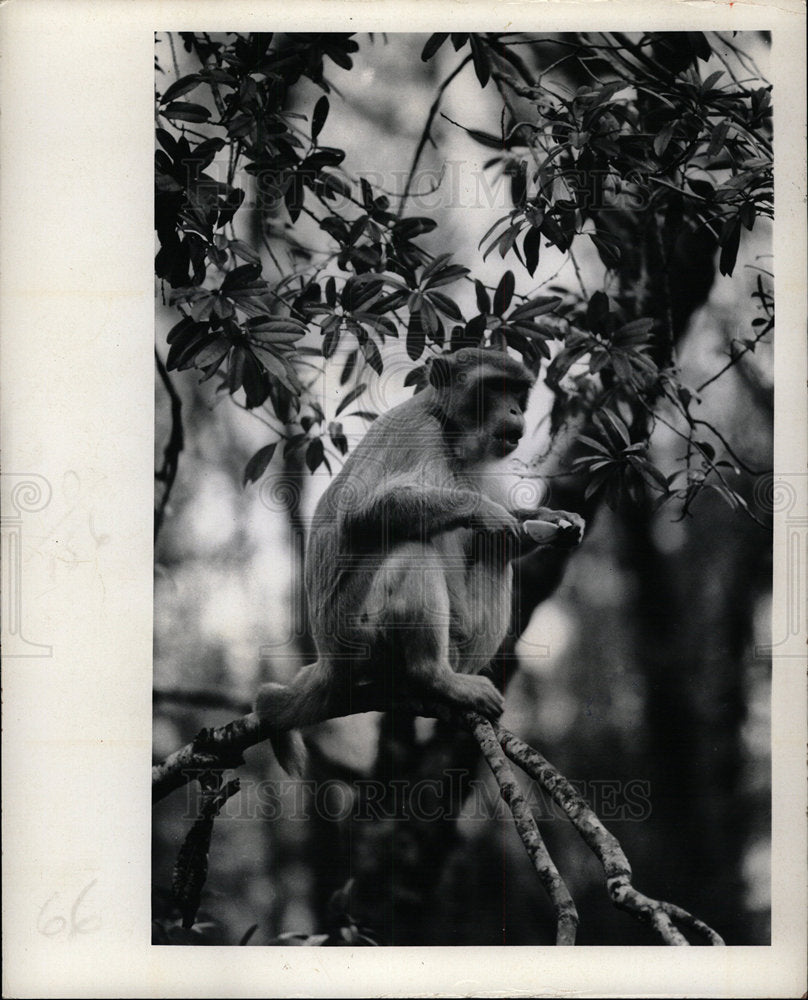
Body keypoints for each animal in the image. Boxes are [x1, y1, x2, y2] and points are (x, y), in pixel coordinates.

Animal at [256, 348, 584, 776]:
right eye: (496, 387)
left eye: (517, 392)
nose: (515, 411)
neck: (451, 434)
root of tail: (329, 661)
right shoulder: (415, 431)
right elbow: (360, 516)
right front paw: (482, 510)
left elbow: (504, 540)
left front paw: (556, 521)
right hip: (360, 639)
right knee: (414, 547)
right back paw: (436, 677)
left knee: (491, 554)